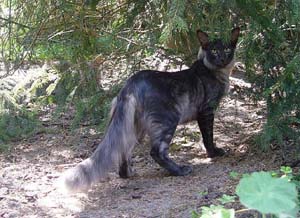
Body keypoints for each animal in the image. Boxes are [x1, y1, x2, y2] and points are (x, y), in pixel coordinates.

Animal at [62, 26, 240, 192]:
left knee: (124, 149)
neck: (217, 72)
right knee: (156, 152)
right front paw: (214, 153)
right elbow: (208, 137)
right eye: (214, 50)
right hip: (167, 120)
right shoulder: (207, 110)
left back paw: (127, 174)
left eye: (227, 49)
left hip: (135, 126)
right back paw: (180, 170)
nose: (222, 58)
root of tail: (131, 84)